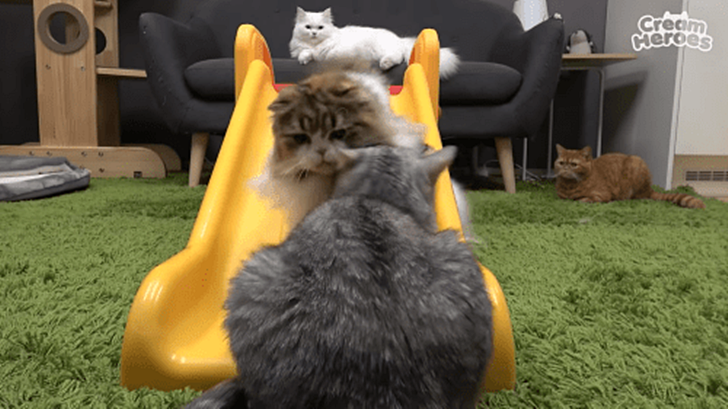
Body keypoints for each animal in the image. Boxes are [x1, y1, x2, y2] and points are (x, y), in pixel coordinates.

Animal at [289, 7, 461, 79]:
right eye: (308, 27)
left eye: (320, 28)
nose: (314, 33)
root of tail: (399, 39)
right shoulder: (304, 48)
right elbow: (305, 52)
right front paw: (304, 58)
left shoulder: (336, 49)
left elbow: (324, 54)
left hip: (385, 49)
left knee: (396, 58)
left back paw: (384, 64)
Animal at [554, 144, 706, 209]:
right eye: (561, 163)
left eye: (574, 164)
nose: (565, 168)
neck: (569, 185)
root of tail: (649, 188)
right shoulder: (561, 196)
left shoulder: (601, 195)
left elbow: (583, 199)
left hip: (635, 163)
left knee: (634, 198)